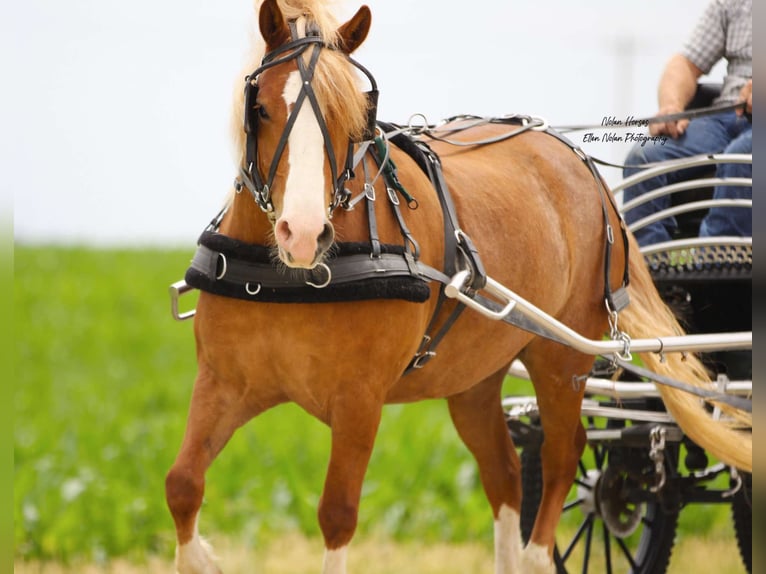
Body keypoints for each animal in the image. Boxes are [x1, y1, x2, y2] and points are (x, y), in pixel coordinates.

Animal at [165, 2, 752, 572]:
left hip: (562, 359)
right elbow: (181, 486)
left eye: (353, 117)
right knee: (507, 474)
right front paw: (206, 558)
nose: (304, 233)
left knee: (562, 459)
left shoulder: (359, 402)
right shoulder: (222, 384)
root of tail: (582, 167)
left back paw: (538, 555)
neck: (293, 278)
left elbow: (337, 515)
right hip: (475, 378)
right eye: (261, 108)